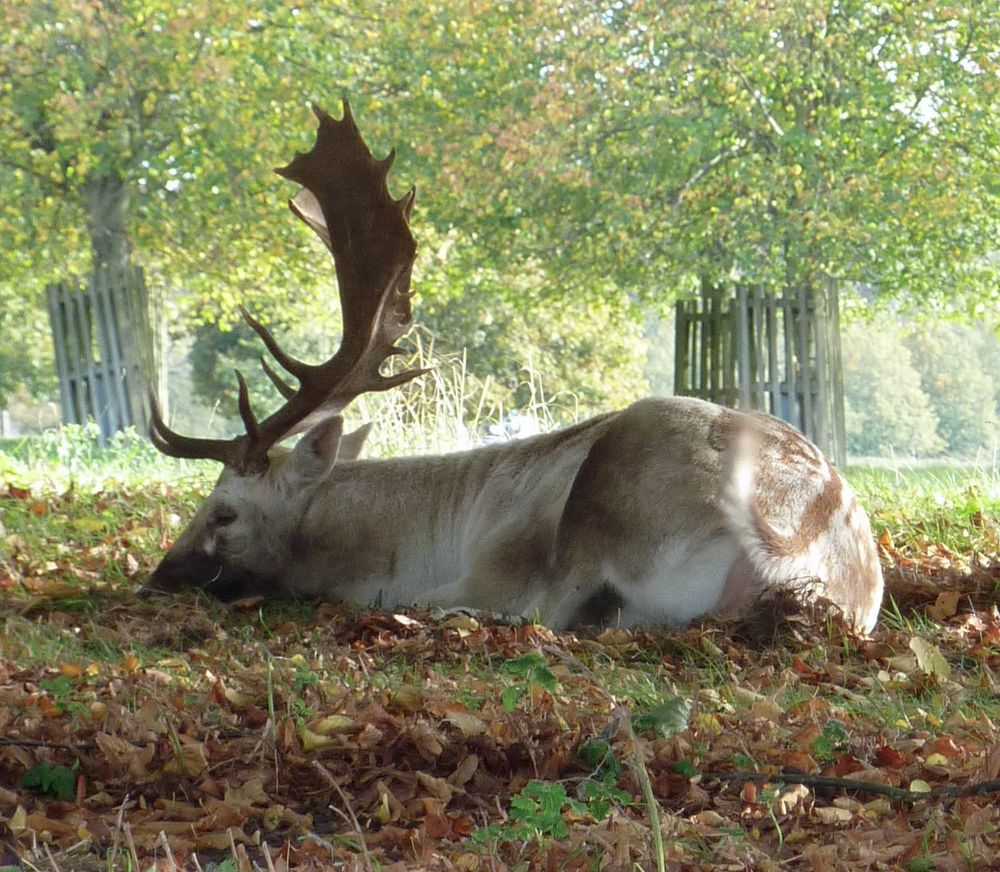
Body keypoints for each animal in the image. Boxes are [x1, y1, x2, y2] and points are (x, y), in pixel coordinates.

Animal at [145, 101, 884, 634]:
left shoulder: (494, 568)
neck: (416, 544)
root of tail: (804, 563)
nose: (156, 577)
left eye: (223, 514)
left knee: (546, 613)